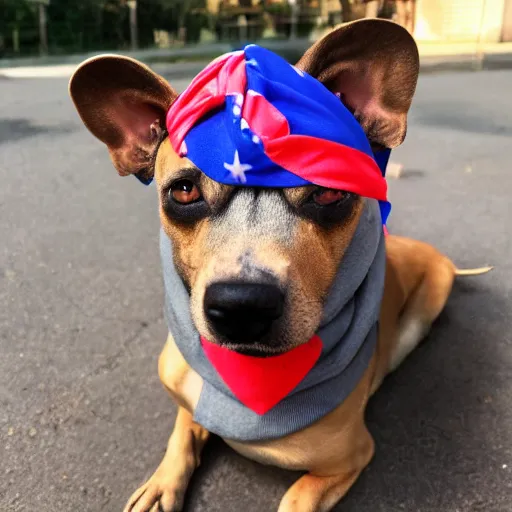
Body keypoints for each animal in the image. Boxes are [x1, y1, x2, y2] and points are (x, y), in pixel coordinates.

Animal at [69, 19, 492, 512]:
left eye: (328, 191)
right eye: (184, 191)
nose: (242, 305)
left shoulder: (347, 459)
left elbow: (295, 498)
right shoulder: (188, 397)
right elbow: (184, 432)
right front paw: (162, 483)